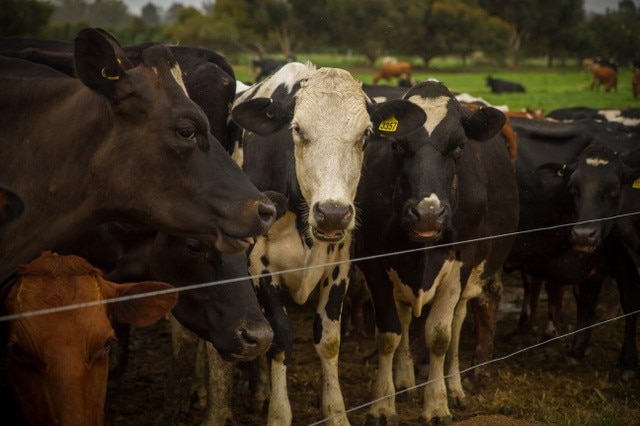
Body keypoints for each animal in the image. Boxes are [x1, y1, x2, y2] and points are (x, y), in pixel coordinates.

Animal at [229, 61, 424, 424]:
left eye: (365, 135)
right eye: (297, 129)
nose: (332, 214)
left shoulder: (339, 266)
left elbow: (329, 340)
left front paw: (335, 412)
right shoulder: (258, 267)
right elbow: (279, 338)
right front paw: (278, 413)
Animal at [356, 80, 520, 426]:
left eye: (459, 147)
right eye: (397, 145)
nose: (428, 214)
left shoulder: (461, 261)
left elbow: (440, 335)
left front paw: (436, 405)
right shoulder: (374, 261)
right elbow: (389, 334)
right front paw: (383, 405)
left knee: (457, 325)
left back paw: (454, 387)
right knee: (406, 318)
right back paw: (404, 380)